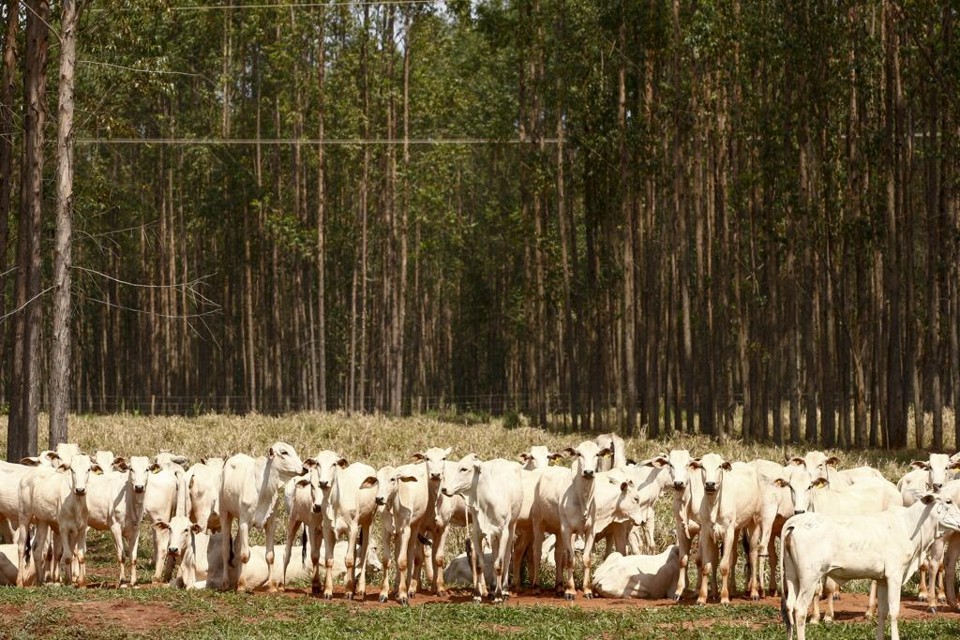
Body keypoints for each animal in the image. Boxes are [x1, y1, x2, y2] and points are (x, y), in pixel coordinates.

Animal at [218, 442, 302, 592]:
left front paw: (272, 587)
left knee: (237, 546)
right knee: (226, 550)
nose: (304, 468)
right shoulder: (244, 522)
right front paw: (241, 588)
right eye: (284, 452)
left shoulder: (270, 523)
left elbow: (270, 556)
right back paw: (226, 583)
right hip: (225, 513)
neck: (263, 489)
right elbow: (245, 555)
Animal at [438, 456, 520, 600]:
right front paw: (477, 594)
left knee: (507, 556)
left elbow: (499, 564)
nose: (444, 489)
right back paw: (493, 587)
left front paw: (499, 596)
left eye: (464, 469)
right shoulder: (477, 533)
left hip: (511, 527)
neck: (487, 502)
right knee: (494, 553)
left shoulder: (503, 532)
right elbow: (479, 565)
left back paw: (504, 589)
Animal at [780, 492, 960, 640]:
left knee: (789, 606)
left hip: (792, 576)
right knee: (800, 610)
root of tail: (796, 522)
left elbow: (882, 612)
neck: (908, 525)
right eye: (948, 501)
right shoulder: (895, 575)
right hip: (809, 578)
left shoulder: (882, 579)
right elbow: (894, 611)